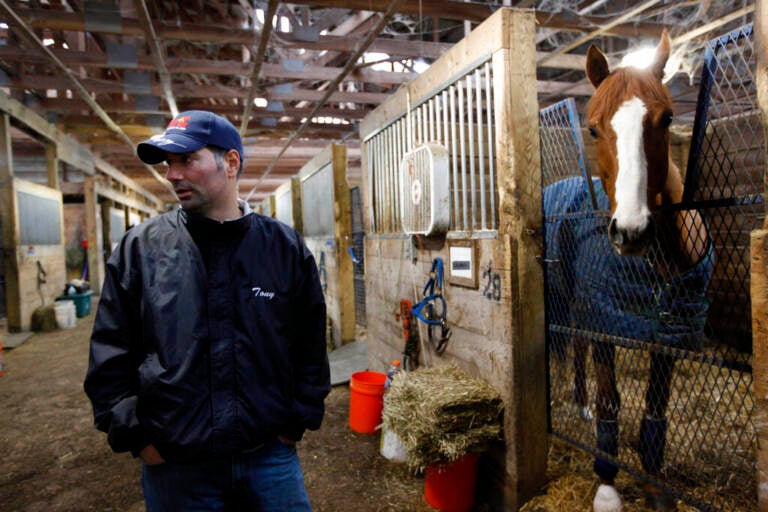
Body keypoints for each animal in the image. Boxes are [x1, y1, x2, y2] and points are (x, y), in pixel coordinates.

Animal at [560, 32, 712, 512]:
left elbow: (655, 410)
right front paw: (608, 487)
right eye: (593, 128)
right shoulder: (607, 322)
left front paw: (656, 488)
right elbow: (611, 403)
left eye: (668, 119)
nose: (630, 231)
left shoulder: (670, 330)